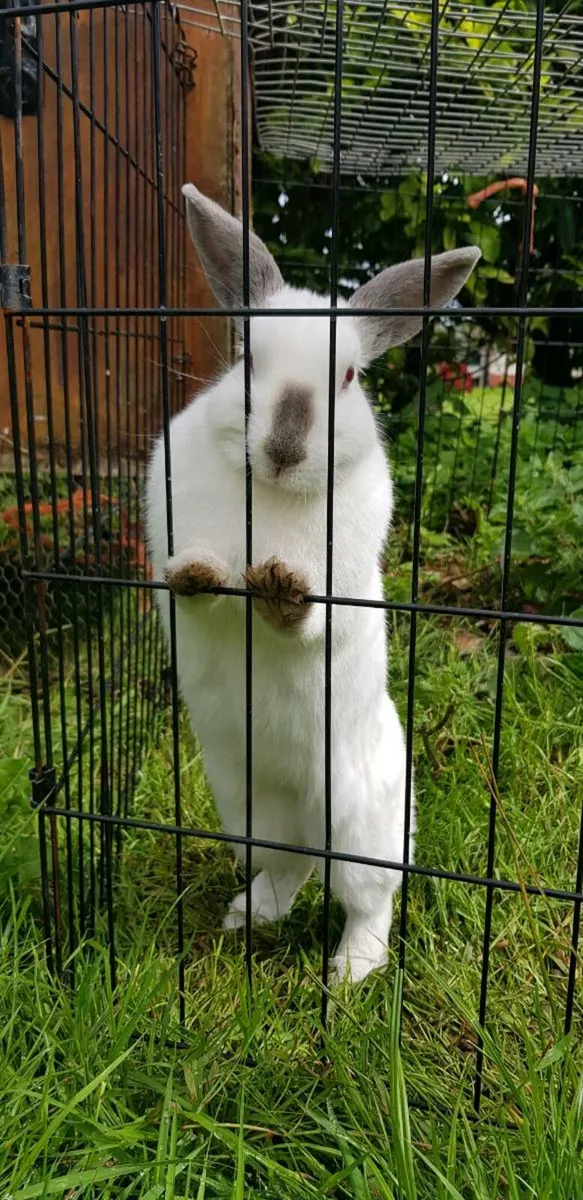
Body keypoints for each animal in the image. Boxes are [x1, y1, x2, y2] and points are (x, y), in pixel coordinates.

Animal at [146, 183, 480, 983]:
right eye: (247, 359)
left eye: (350, 378)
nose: (283, 447)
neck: (268, 495)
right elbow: (189, 588)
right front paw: (200, 571)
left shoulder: (344, 584)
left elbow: (312, 613)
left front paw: (278, 584)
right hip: (247, 805)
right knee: (288, 868)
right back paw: (248, 917)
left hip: (359, 826)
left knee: (368, 902)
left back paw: (349, 973)